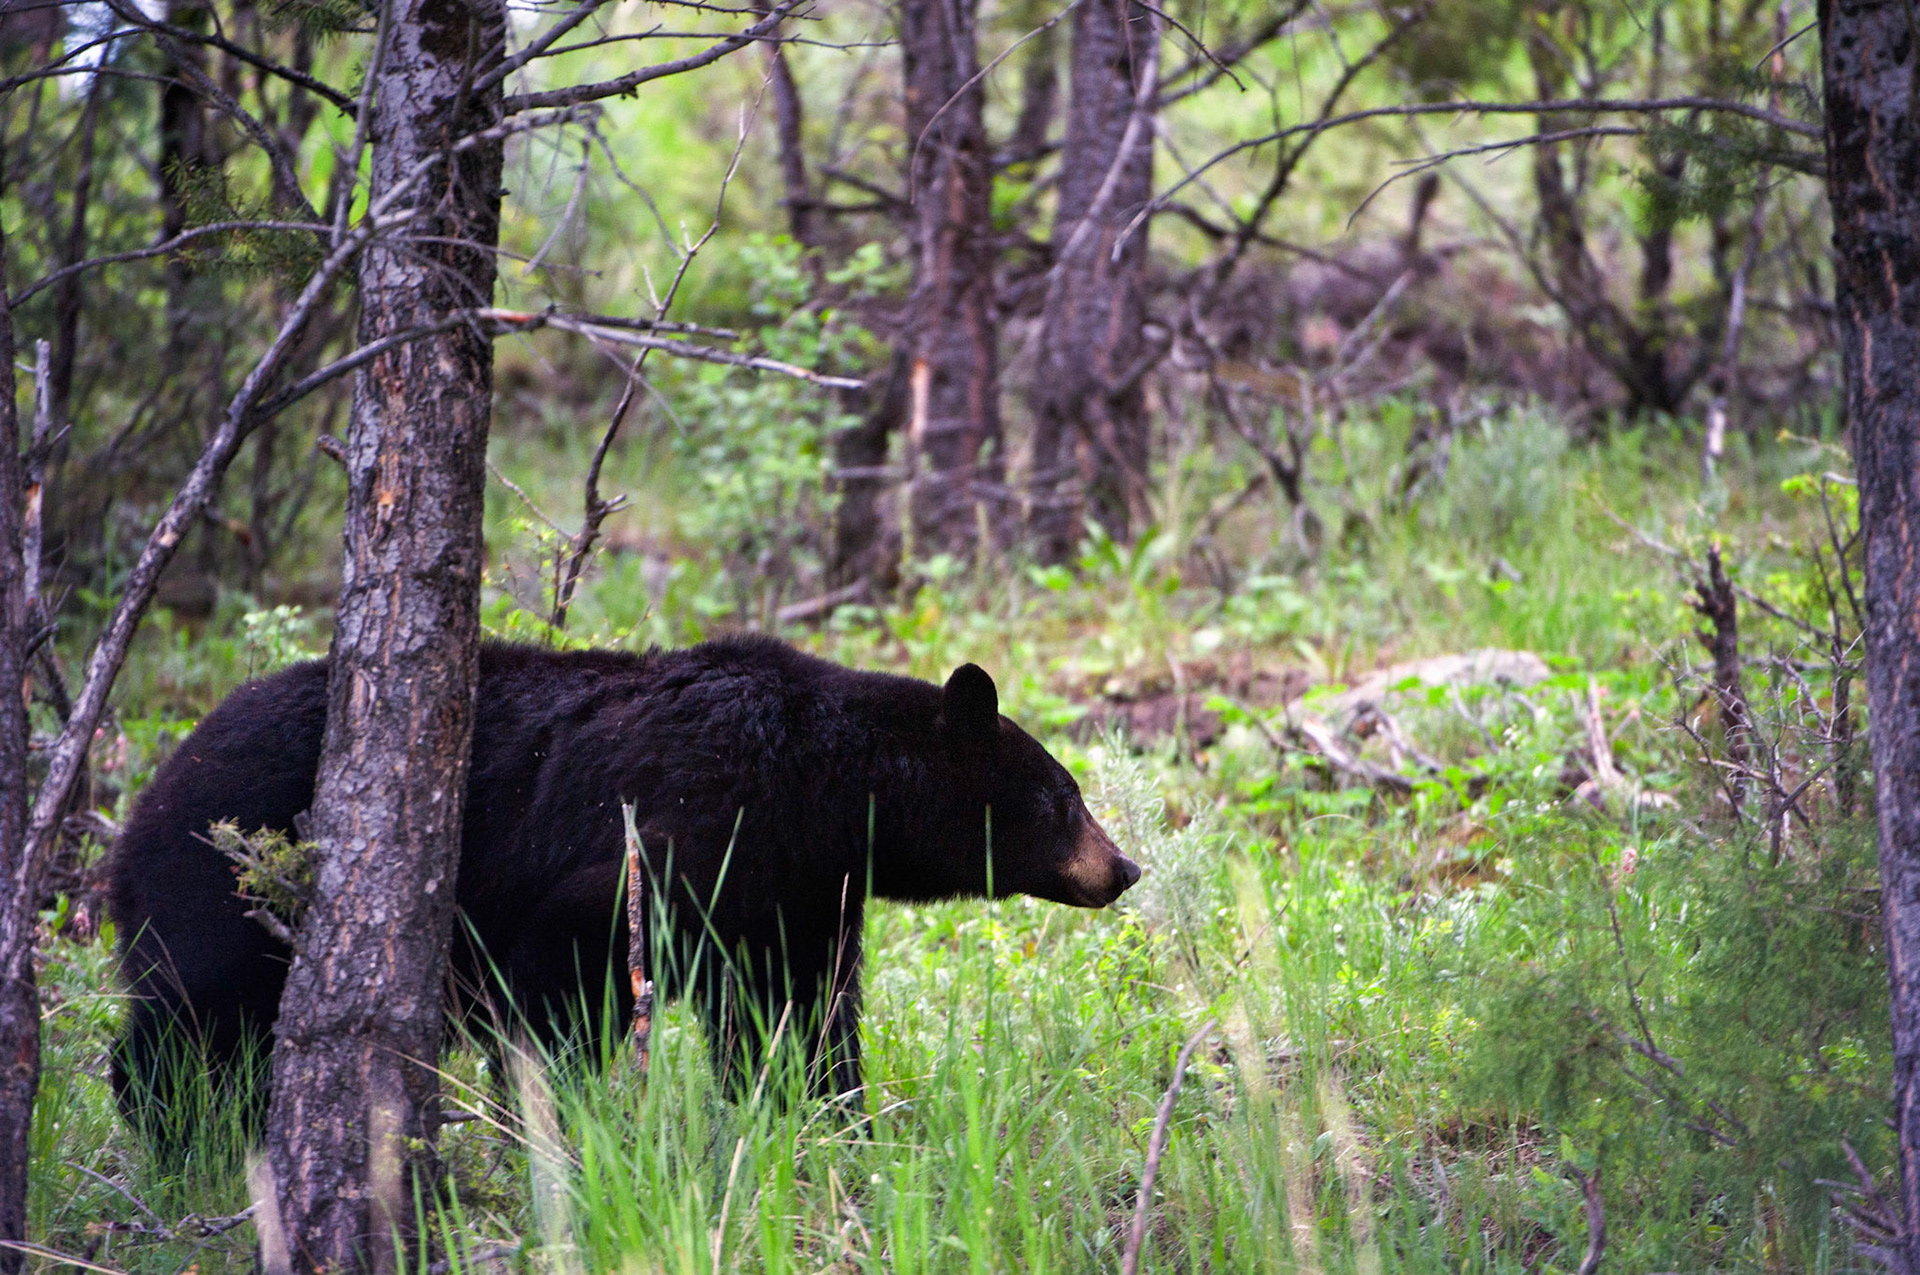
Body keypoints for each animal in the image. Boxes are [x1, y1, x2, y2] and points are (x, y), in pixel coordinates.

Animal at [110, 636, 1139, 1147]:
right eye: (1066, 796)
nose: (1125, 867)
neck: (820, 785)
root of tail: (149, 793)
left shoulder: (792, 892)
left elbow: (796, 1014)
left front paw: (828, 1119)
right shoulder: (681, 833)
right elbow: (565, 969)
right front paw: (555, 1121)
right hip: (227, 880)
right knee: (190, 1017)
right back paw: (184, 1141)